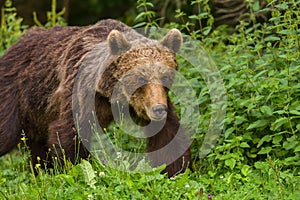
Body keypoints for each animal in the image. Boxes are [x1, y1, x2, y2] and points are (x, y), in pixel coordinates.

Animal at [0, 19, 191, 177]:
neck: (113, 95)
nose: (158, 109)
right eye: (141, 78)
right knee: (6, 131)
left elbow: (168, 134)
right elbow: (70, 133)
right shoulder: (82, 93)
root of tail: (14, 45)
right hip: (16, 91)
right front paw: (69, 168)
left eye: (165, 77)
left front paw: (175, 170)